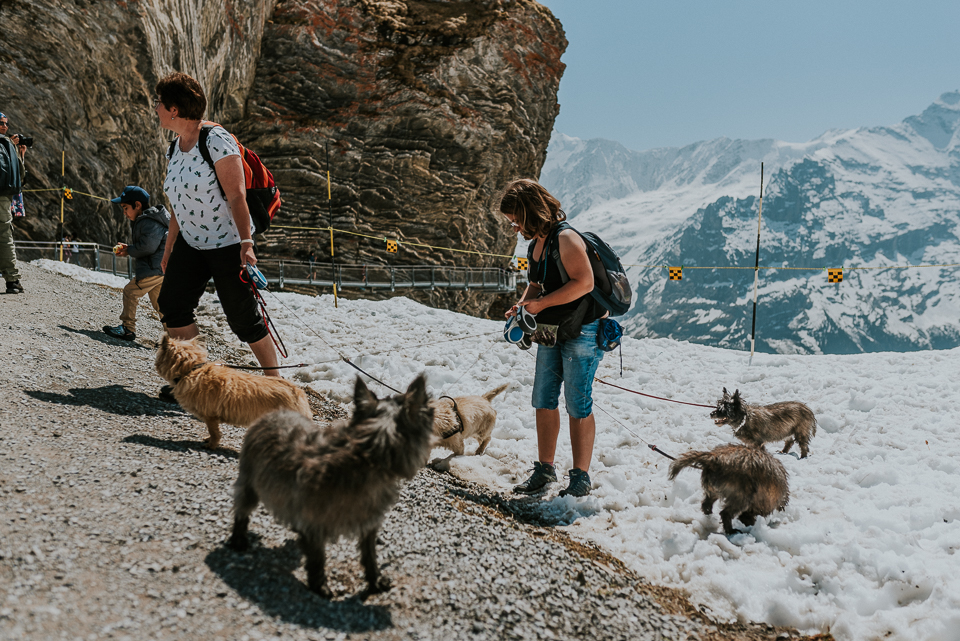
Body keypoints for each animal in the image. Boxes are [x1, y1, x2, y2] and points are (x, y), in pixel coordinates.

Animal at [227, 372, 434, 596]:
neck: (368, 456)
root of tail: (273, 413)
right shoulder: (315, 526)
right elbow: (318, 558)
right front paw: (320, 586)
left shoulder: (369, 524)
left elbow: (370, 555)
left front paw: (374, 581)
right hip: (250, 483)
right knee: (242, 510)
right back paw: (238, 540)